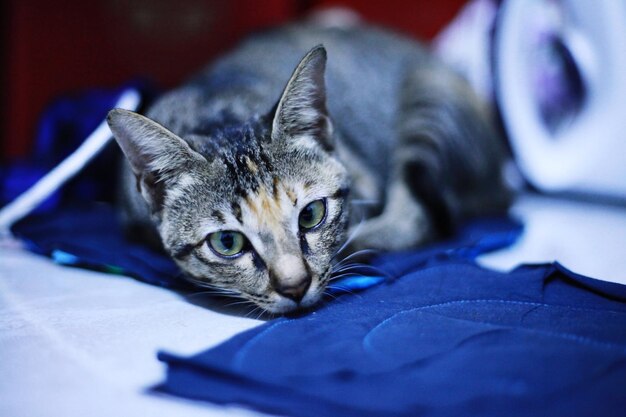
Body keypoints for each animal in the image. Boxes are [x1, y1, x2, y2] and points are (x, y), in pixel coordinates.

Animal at [106, 19, 508, 312]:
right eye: (227, 242)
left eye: (311, 215)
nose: (295, 286)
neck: (216, 112)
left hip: (430, 102)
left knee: (415, 216)